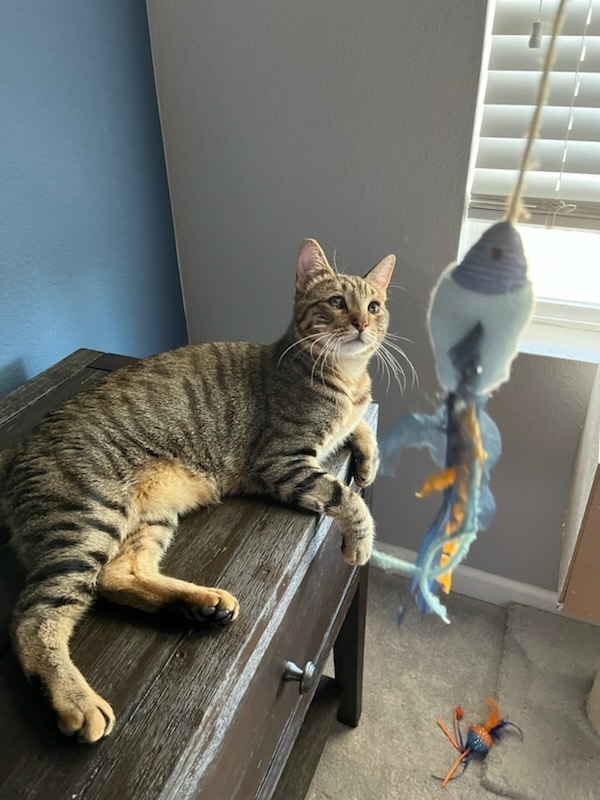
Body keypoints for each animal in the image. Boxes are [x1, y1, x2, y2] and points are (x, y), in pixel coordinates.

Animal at [1, 238, 394, 744]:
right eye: (336, 302)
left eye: (374, 305)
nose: (362, 323)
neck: (346, 377)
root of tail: (17, 450)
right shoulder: (281, 461)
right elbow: (349, 499)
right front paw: (359, 542)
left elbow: (361, 427)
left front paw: (367, 457)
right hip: (88, 518)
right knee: (33, 619)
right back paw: (77, 700)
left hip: (146, 517)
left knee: (116, 576)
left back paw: (204, 604)